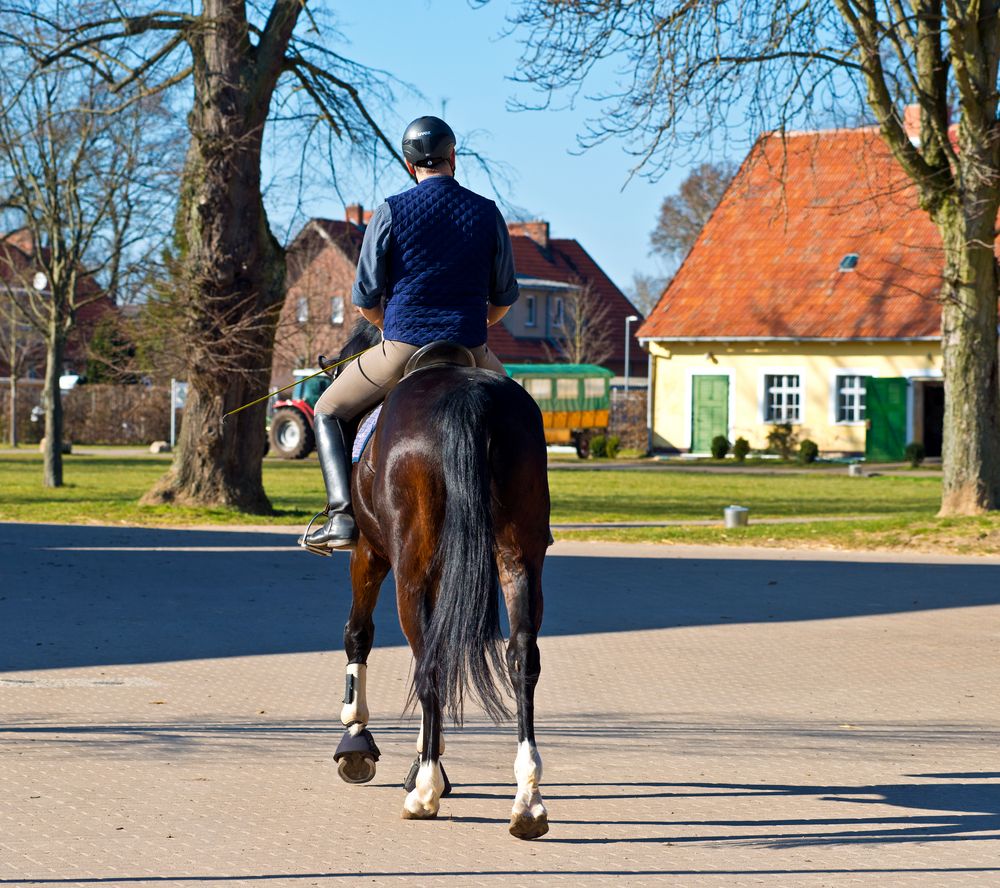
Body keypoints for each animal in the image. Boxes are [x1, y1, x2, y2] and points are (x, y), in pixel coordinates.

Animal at [328, 320, 552, 840]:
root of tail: (469, 398)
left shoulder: (369, 553)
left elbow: (358, 635)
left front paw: (356, 740)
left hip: (409, 566)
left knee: (428, 661)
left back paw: (425, 791)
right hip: (519, 557)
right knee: (521, 658)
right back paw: (527, 801)